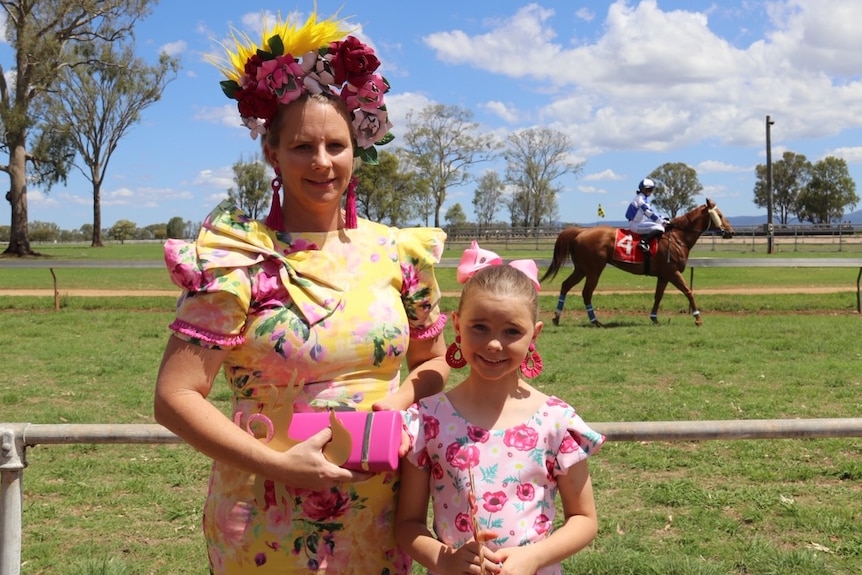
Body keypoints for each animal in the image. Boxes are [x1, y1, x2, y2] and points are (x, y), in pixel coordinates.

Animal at [540, 198, 736, 326]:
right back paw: (595, 321)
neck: (678, 237)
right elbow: (688, 291)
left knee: (565, 285)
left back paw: (557, 317)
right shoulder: (673, 272)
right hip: (594, 270)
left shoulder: (664, 275)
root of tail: (580, 232)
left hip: (582, 269)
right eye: (719, 215)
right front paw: (697, 317)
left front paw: (654, 317)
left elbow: (658, 296)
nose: (731, 232)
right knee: (586, 293)